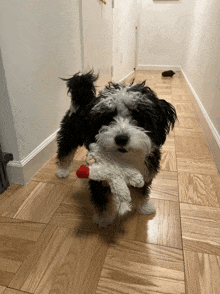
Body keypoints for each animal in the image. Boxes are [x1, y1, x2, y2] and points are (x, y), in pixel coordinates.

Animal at [55, 71, 177, 227]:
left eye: (138, 117)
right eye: (108, 118)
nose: (121, 139)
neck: (124, 158)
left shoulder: (146, 171)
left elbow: (142, 192)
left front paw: (143, 207)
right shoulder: (98, 178)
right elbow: (102, 200)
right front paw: (104, 218)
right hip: (71, 135)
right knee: (65, 150)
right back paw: (62, 170)